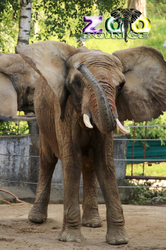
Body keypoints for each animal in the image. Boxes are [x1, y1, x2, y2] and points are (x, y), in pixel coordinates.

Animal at [17, 40, 166, 244]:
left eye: (121, 86)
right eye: (77, 83)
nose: (81, 65)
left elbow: (105, 163)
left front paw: (118, 240)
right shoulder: (64, 112)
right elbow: (72, 162)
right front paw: (71, 239)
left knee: (89, 165)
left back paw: (93, 223)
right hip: (43, 122)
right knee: (47, 162)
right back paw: (37, 219)